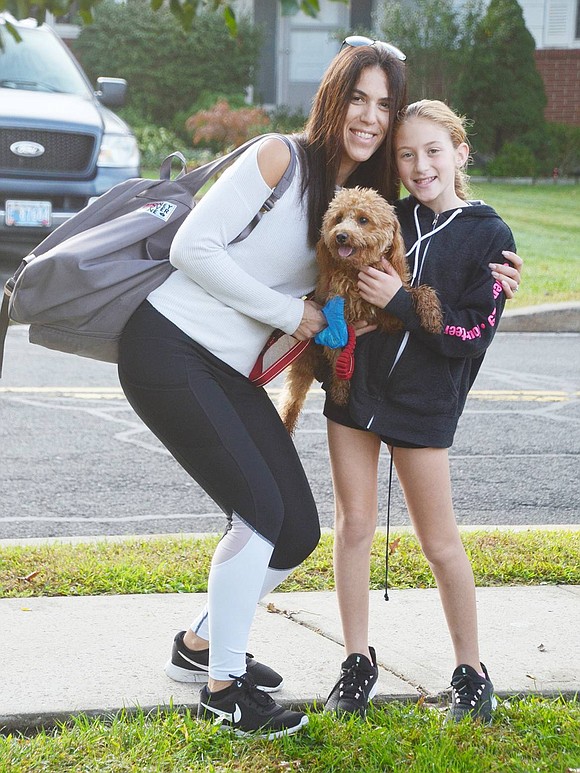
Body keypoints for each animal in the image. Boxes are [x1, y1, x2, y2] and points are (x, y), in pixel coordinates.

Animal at [278, 184, 442, 432]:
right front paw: (340, 392)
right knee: (290, 402)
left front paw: (432, 316)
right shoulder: (340, 325)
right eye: (338, 219)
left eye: (363, 219)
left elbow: (419, 291)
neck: (356, 272)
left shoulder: (389, 316)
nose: (341, 235)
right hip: (303, 366)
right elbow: (340, 359)